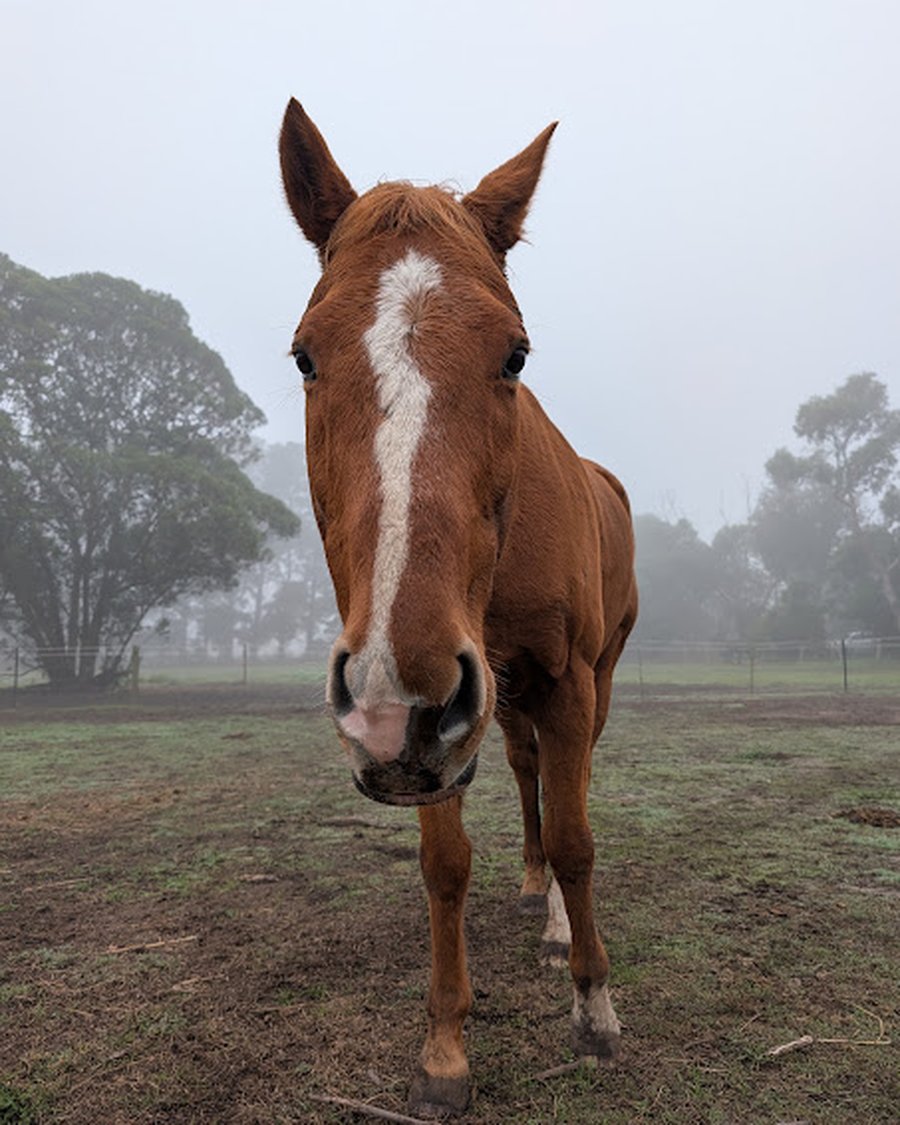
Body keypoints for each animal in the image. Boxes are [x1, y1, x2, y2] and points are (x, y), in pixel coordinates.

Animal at [278, 100, 638, 1119]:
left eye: (514, 352)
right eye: (305, 355)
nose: (401, 700)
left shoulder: (558, 685)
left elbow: (578, 837)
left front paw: (595, 1007)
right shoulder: (428, 725)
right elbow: (446, 867)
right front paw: (444, 1048)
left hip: (583, 683)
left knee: (562, 785)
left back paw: (556, 927)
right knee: (523, 773)